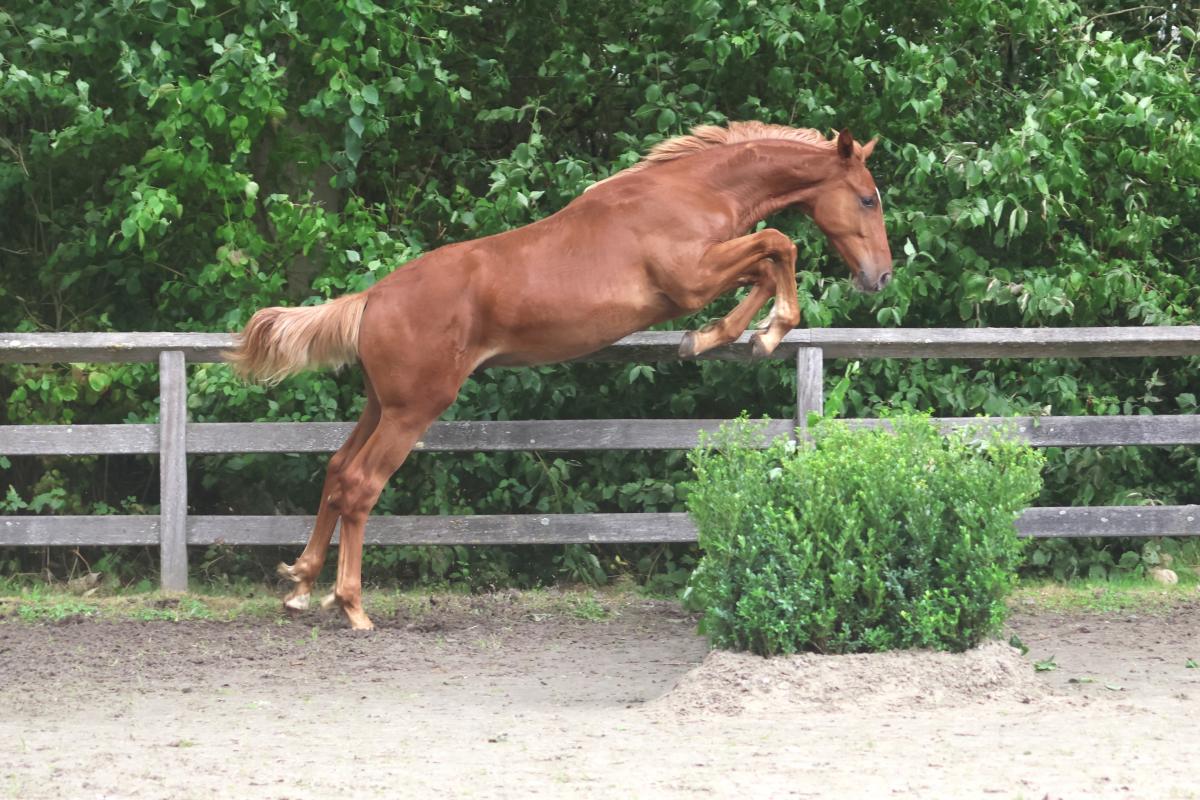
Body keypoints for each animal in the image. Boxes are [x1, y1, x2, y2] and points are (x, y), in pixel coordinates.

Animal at [227, 121, 893, 629]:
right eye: (867, 198)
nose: (880, 276)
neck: (692, 193)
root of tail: (372, 298)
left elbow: (769, 258)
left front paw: (730, 335)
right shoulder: (691, 279)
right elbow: (779, 245)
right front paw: (748, 333)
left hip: (379, 405)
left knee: (338, 472)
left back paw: (300, 584)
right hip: (415, 410)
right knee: (362, 484)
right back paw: (352, 606)